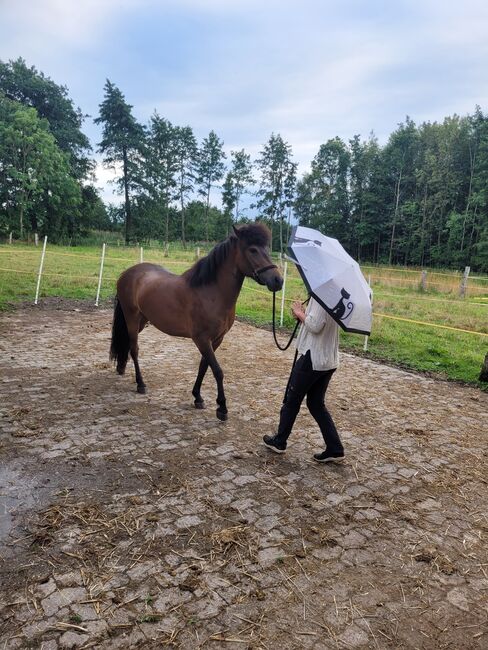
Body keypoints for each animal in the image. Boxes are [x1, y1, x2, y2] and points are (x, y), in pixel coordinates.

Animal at [107, 220, 282, 418]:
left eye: (267, 249)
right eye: (252, 250)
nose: (278, 280)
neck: (211, 292)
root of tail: (127, 273)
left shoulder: (216, 339)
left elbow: (204, 366)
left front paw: (197, 397)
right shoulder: (202, 339)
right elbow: (217, 370)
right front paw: (222, 407)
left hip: (142, 321)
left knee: (127, 344)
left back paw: (121, 368)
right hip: (131, 319)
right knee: (134, 349)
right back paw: (140, 384)